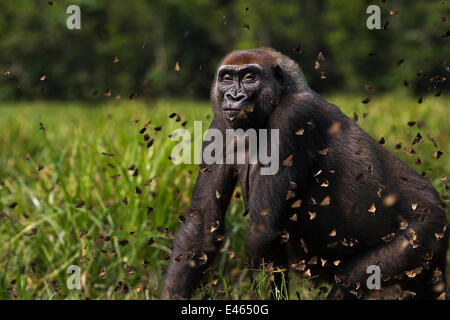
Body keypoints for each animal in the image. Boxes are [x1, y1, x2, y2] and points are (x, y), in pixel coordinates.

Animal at [161, 47, 446, 300]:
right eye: (227, 78)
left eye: (250, 77)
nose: (234, 96)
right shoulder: (220, 123)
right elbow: (202, 224)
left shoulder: (292, 118)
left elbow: (264, 230)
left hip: (425, 230)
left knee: (352, 279)